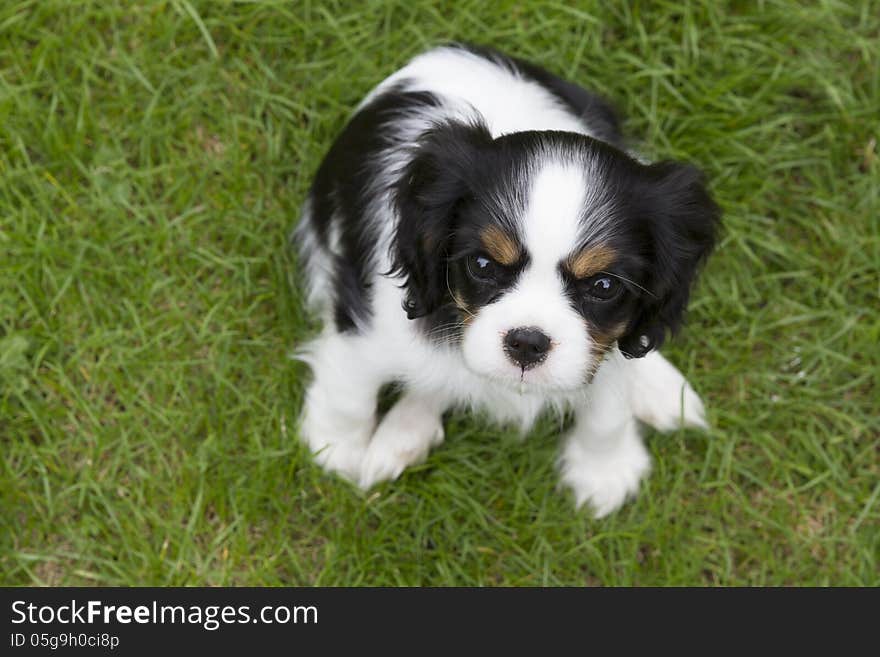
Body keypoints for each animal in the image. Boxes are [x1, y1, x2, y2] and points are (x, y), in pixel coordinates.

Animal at [292, 43, 720, 516]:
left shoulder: (608, 340)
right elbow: (351, 389)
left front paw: (604, 470)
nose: (527, 343)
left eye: (604, 286)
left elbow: (609, 403)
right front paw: (335, 451)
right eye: (481, 265)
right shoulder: (365, 315)